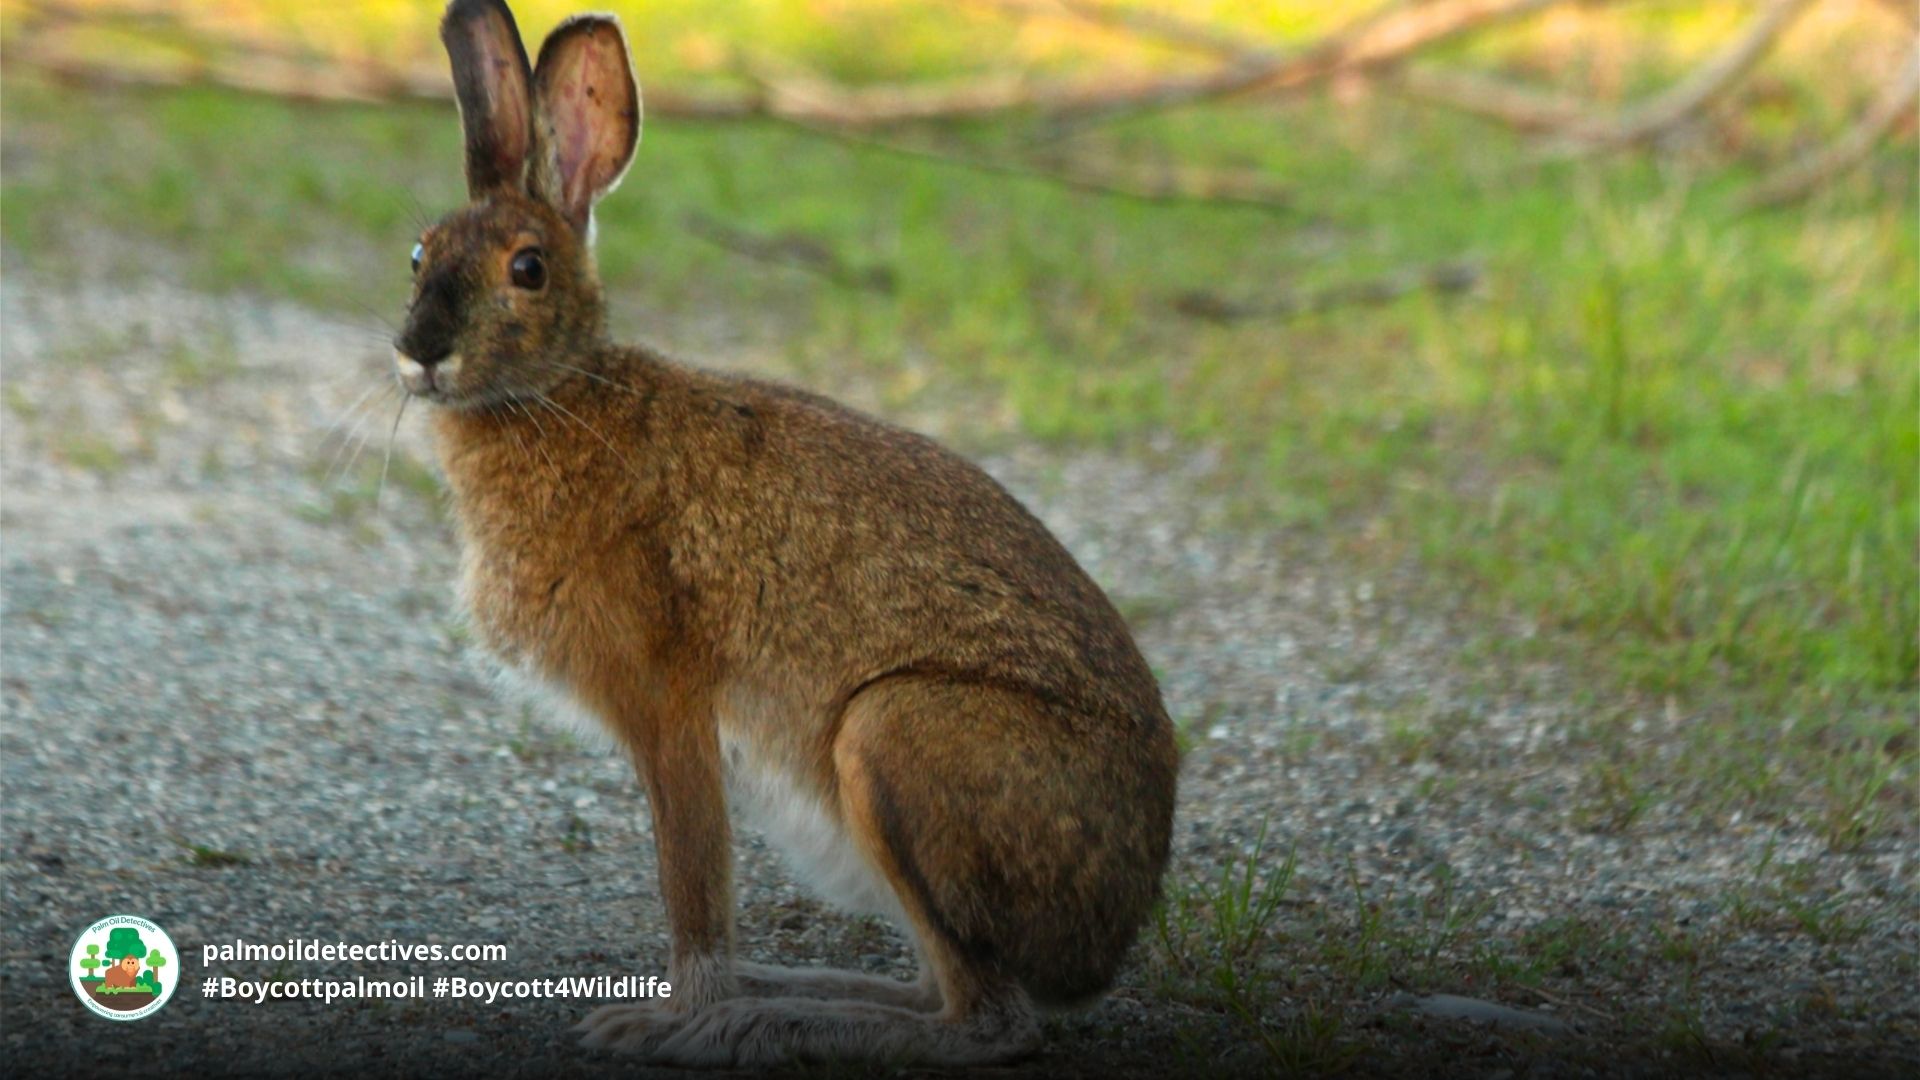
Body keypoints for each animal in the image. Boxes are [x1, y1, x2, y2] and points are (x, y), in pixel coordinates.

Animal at [396, 0, 1178, 1066]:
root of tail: (1113, 931)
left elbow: (695, 890)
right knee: (943, 990)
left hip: (893, 739)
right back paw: (786, 995)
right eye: (418, 254)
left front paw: (667, 1022)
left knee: (986, 1020)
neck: (560, 396)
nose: (418, 353)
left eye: (528, 269)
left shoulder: (670, 707)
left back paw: (754, 1019)